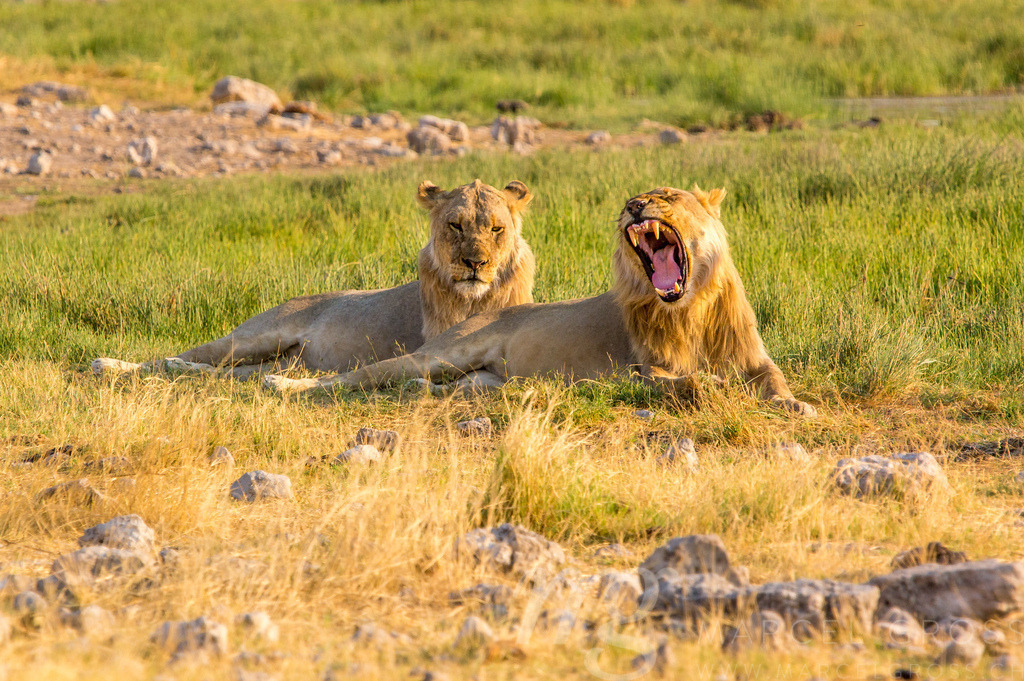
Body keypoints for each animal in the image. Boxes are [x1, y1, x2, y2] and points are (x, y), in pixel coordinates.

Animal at [91, 179, 535, 378]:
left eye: (496, 229)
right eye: (455, 226)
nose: (474, 263)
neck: (473, 298)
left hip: (272, 361)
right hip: (252, 336)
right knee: (182, 356)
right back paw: (109, 364)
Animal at [264, 186, 817, 417]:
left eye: (668, 197)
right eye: (635, 199)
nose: (634, 206)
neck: (690, 308)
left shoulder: (754, 359)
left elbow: (775, 382)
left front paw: (795, 405)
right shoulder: (643, 369)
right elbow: (688, 384)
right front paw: (716, 387)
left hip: (477, 381)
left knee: (435, 387)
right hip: (443, 353)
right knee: (360, 375)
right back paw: (281, 385)